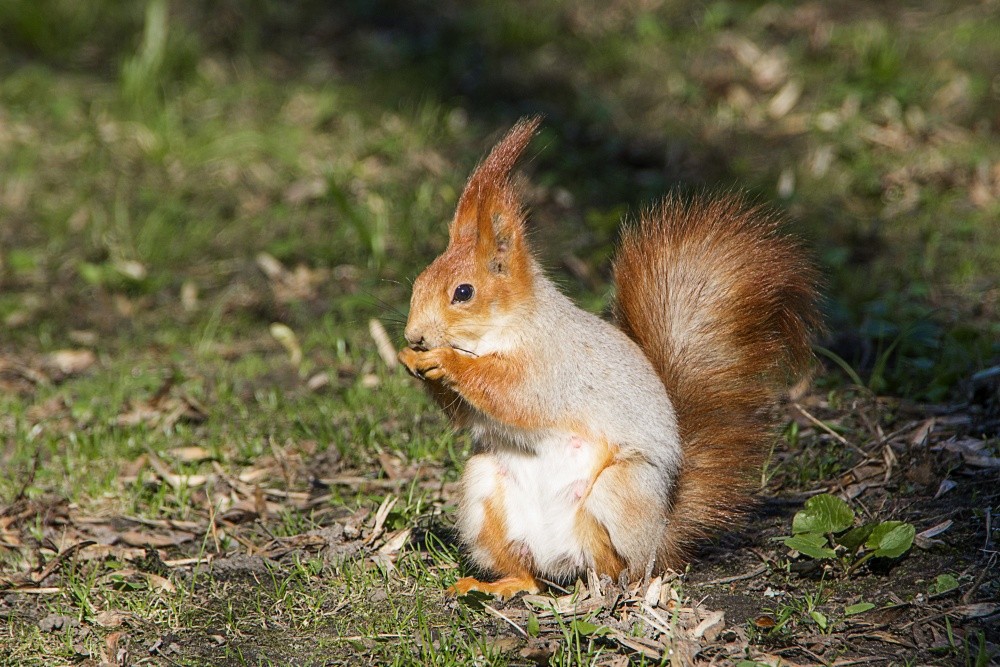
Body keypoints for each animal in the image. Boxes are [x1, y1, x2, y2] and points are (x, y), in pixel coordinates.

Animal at [398, 117, 821, 598]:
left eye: (463, 292)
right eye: (419, 282)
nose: (414, 335)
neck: (505, 330)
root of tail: (660, 537)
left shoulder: (553, 366)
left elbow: (512, 393)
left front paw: (446, 362)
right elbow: (467, 415)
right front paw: (411, 359)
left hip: (619, 492)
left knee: (620, 565)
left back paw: (607, 589)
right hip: (484, 487)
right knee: (530, 578)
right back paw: (496, 584)